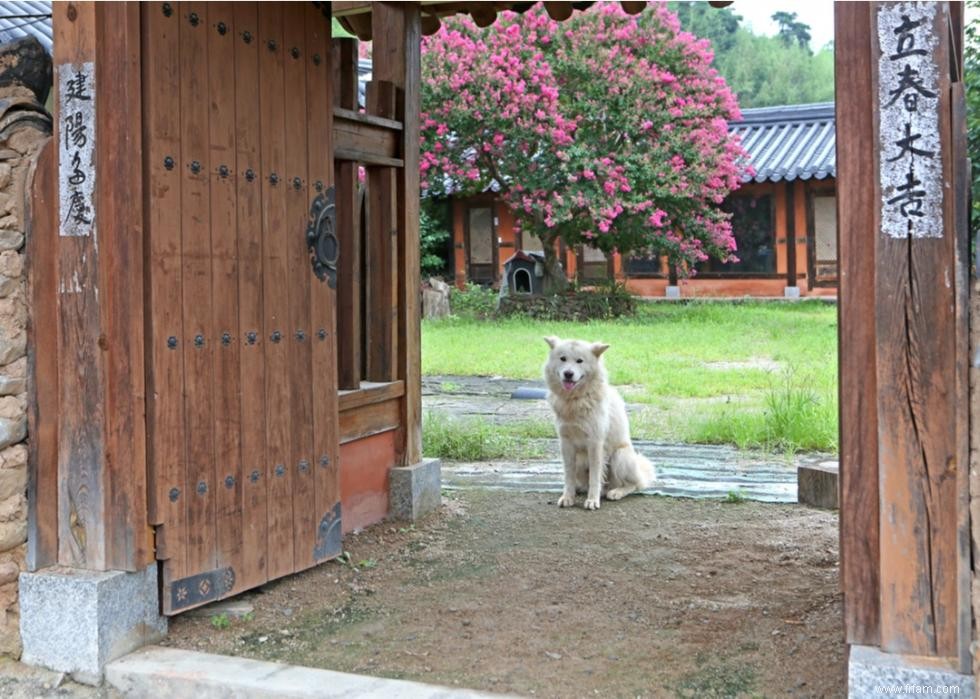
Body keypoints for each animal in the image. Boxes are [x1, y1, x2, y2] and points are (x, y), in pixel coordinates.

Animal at [540, 336, 656, 512]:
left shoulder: (595, 443)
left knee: (634, 485)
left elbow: (595, 477)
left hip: (620, 456)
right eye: (563, 358)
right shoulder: (566, 443)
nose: (568, 374)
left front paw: (592, 500)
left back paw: (615, 492)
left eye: (579, 361)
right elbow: (568, 475)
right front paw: (568, 497)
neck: (576, 400)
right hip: (581, 461)